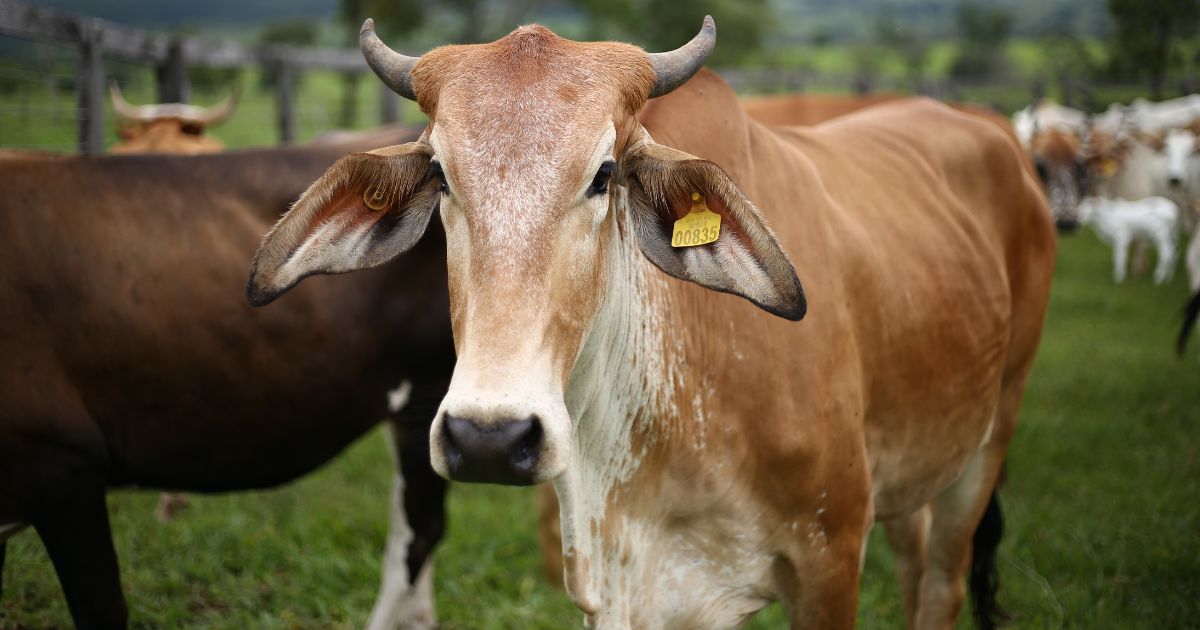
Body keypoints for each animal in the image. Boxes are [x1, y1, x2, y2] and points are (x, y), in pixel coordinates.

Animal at [248, 19, 1056, 628]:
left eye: (604, 174)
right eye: (443, 174)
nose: (489, 437)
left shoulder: (830, 555)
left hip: (989, 442)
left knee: (942, 583)